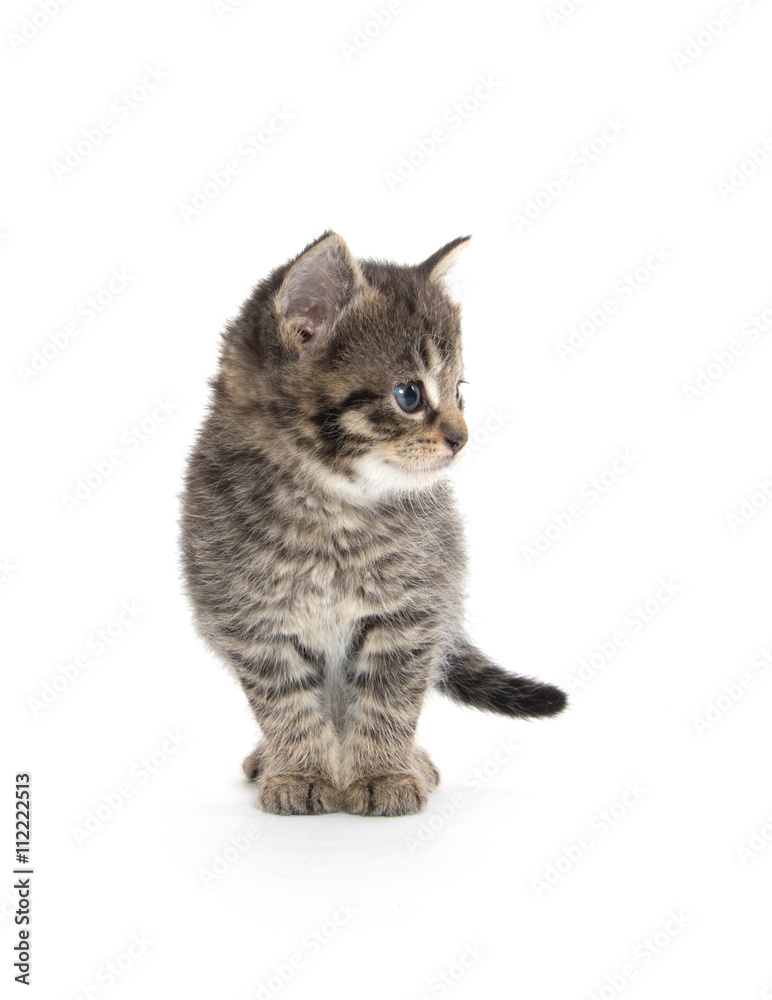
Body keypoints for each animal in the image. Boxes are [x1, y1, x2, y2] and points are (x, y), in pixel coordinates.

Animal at [181, 236, 568, 820]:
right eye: (409, 395)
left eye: (460, 392)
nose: (462, 438)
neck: (331, 509)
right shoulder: (253, 624)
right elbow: (286, 705)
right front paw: (299, 771)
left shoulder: (411, 613)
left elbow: (390, 698)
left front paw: (383, 772)